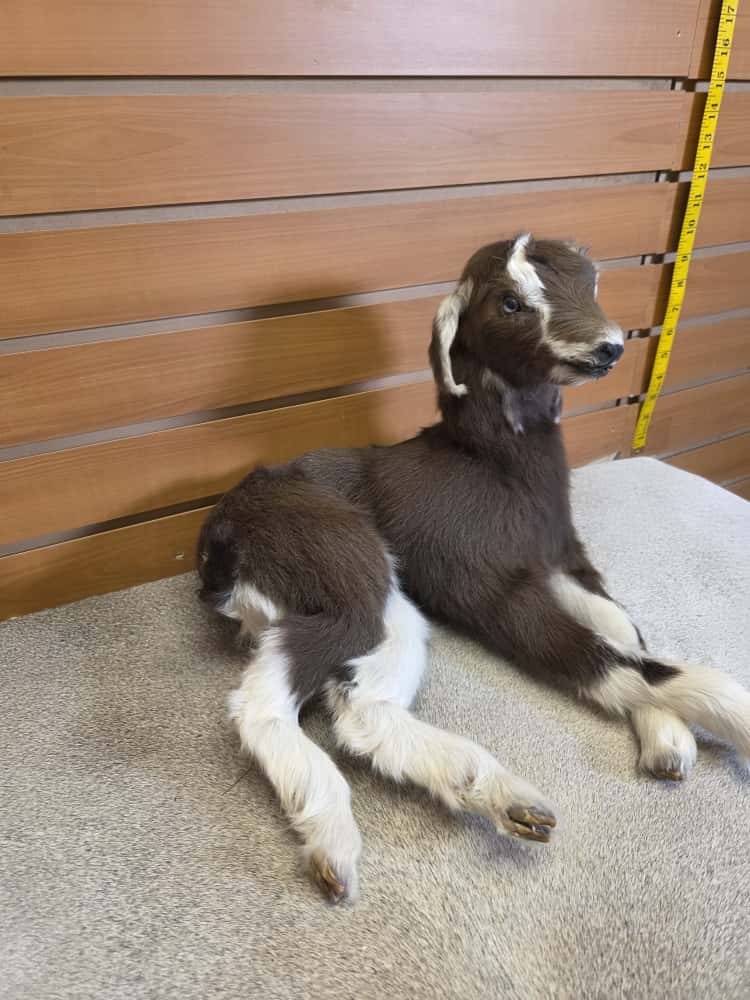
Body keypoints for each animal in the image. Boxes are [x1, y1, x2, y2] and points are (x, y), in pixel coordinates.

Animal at [197, 235, 750, 903]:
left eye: (589, 281)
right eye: (510, 302)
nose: (609, 346)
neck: (498, 468)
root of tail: (216, 547)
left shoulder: (564, 558)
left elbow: (622, 626)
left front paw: (668, 739)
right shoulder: (492, 587)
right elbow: (611, 660)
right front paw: (728, 723)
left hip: (388, 607)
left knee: (361, 710)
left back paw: (502, 799)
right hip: (346, 567)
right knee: (263, 704)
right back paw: (338, 843)